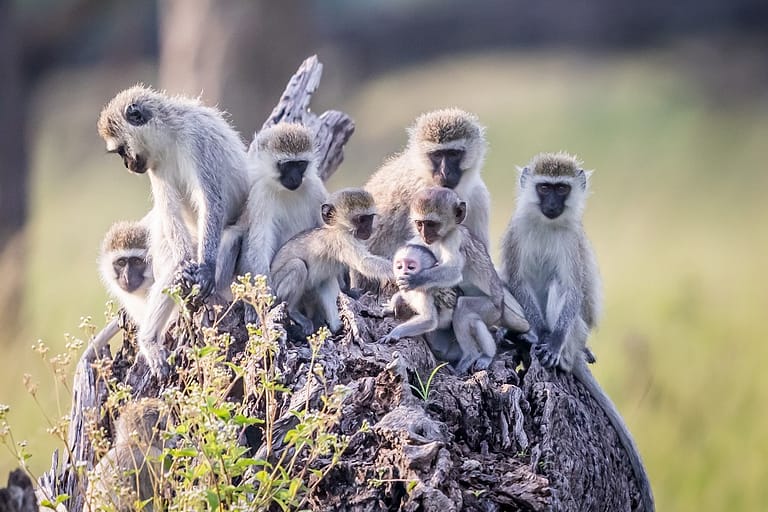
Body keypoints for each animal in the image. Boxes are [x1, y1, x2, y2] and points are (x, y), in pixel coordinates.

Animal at [237, 122, 328, 322]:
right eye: (286, 165)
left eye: (300, 164)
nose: (294, 178)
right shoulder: (260, 194)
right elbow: (259, 243)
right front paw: (265, 295)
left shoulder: (316, 188)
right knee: (298, 266)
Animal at [268, 188, 392, 336]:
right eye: (361, 219)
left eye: (370, 218)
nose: (368, 230)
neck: (338, 228)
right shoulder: (343, 239)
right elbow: (363, 262)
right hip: (278, 288)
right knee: (298, 266)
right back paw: (293, 311)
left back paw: (334, 327)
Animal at [498, 153, 656, 512]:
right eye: (544, 188)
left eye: (562, 189)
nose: (552, 204)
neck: (546, 225)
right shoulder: (516, 232)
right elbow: (517, 282)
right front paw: (537, 335)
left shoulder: (570, 243)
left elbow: (571, 288)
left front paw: (551, 342)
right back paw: (526, 338)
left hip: (576, 331)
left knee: (562, 289)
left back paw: (559, 351)